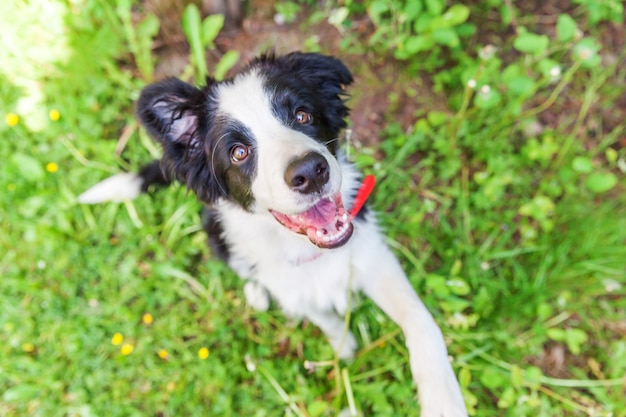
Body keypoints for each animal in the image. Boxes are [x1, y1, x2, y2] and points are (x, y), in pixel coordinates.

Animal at [78, 52, 466, 416]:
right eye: (239, 152)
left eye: (302, 115)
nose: (311, 172)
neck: (311, 251)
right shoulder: (291, 286)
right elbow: (320, 317)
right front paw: (343, 346)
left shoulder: (373, 256)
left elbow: (419, 318)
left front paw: (442, 397)